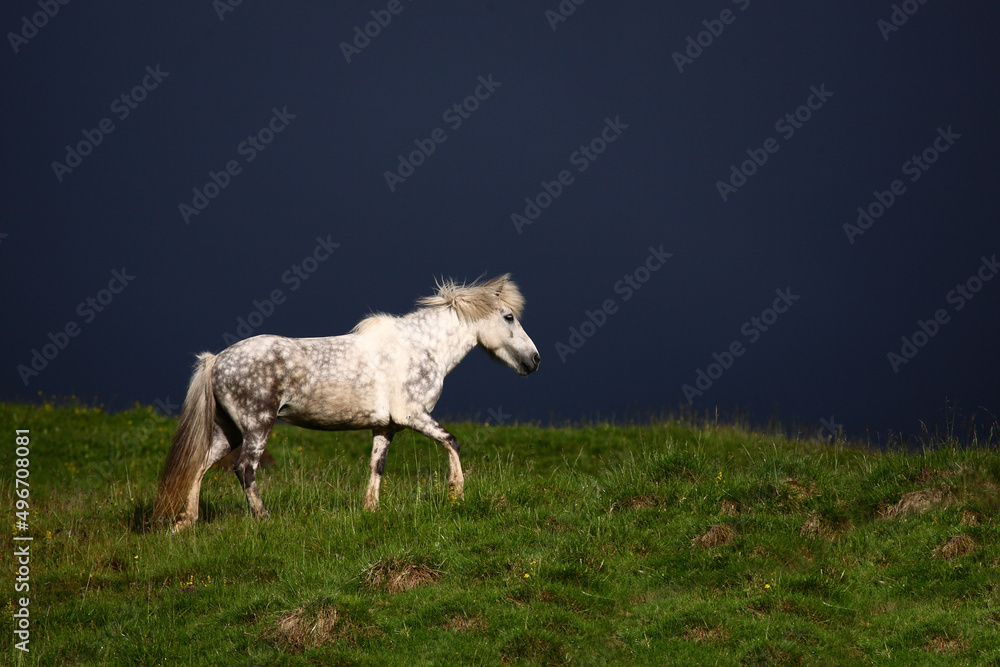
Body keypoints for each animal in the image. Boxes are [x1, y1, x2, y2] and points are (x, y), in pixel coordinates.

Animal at [152, 274, 539, 531]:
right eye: (508, 317)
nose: (534, 360)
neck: (420, 347)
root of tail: (216, 360)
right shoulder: (414, 415)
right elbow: (452, 441)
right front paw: (456, 494)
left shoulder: (387, 427)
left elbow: (377, 466)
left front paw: (371, 510)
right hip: (257, 427)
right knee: (244, 469)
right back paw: (264, 519)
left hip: (228, 431)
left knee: (199, 468)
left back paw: (186, 524)